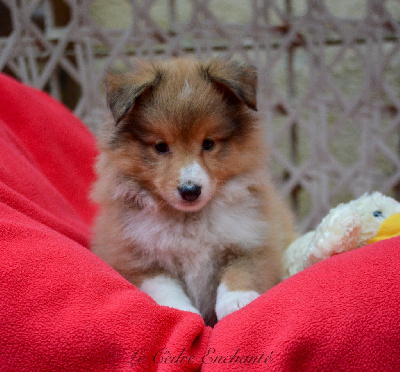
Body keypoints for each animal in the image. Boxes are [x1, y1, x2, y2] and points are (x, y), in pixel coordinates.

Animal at [91, 56, 296, 326]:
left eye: (208, 143)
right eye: (160, 146)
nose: (190, 190)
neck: (190, 220)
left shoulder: (252, 239)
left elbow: (241, 272)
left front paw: (238, 302)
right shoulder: (138, 259)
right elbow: (166, 288)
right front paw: (181, 313)